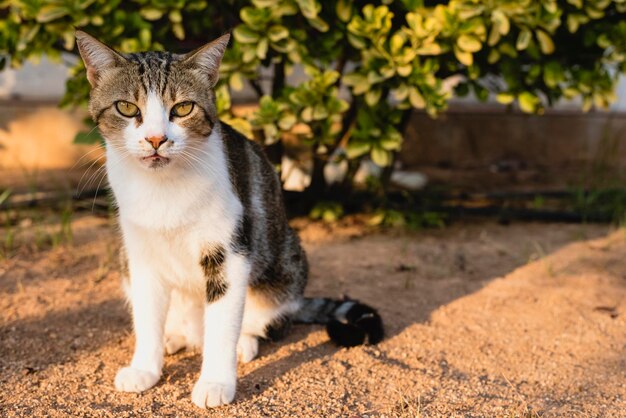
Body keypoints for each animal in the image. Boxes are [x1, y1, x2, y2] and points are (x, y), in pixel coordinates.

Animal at [75, 31, 382, 410]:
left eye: (183, 108)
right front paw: (145, 368)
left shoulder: (228, 251)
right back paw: (174, 338)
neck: (162, 188)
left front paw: (216, 383)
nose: (156, 139)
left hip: (284, 266)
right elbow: (147, 318)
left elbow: (222, 324)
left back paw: (243, 343)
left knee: (263, 319)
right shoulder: (141, 255)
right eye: (127, 108)